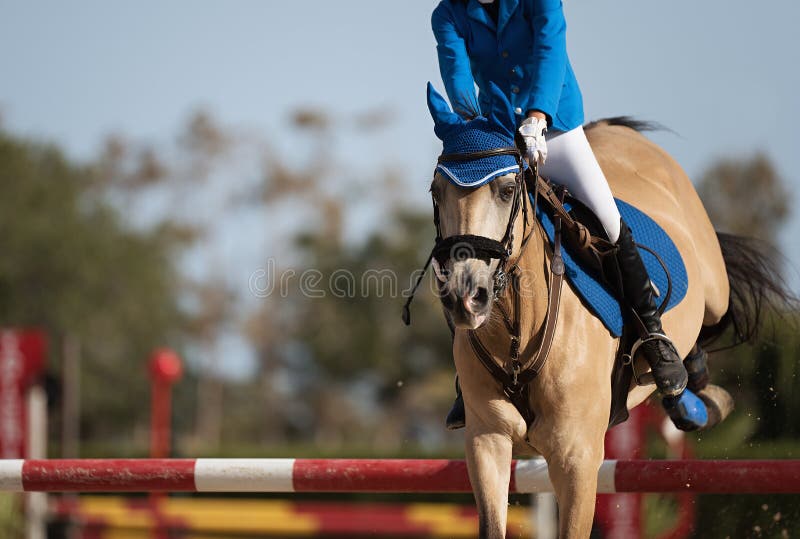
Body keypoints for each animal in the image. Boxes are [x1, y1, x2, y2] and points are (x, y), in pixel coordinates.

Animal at [404, 82, 796, 536]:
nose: (466, 298)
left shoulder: (577, 459)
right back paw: (691, 400)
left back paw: (679, 375)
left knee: (706, 316)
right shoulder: (487, 442)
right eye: (436, 192)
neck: (518, 332)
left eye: (506, 191)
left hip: (714, 288)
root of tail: (619, 132)